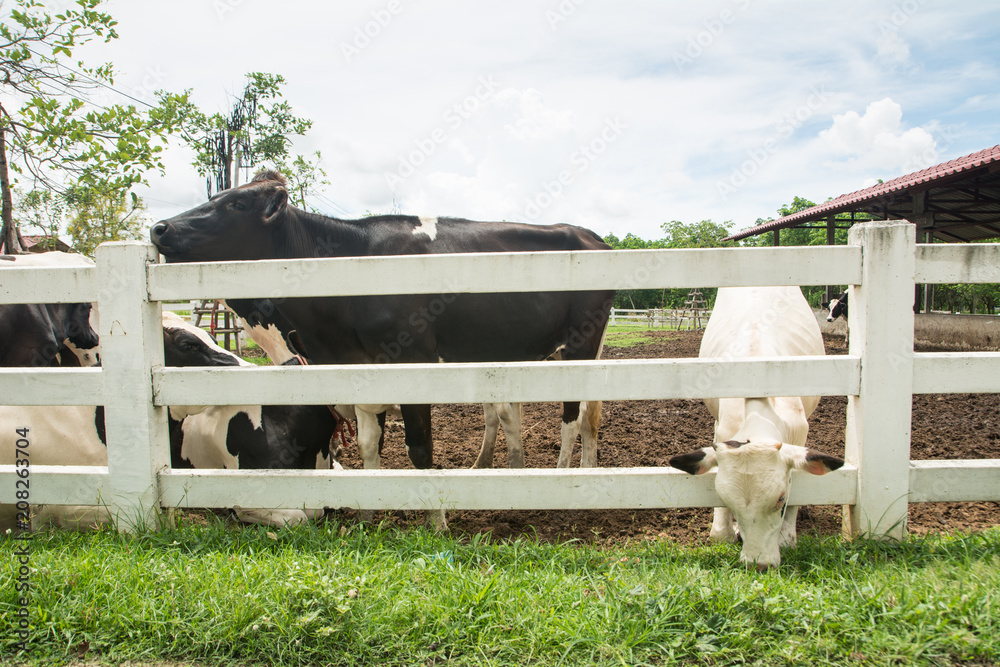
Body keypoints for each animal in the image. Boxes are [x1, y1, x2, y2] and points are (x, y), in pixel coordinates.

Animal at [150, 170, 613, 499]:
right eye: (217, 196)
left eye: (238, 202)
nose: (159, 229)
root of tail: (590, 235)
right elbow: (370, 445)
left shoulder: (412, 364)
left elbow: (417, 449)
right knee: (570, 412)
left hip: (579, 345)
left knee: (572, 416)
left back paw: (562, 476)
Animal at [668, 286, 844, 570]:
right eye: (726, 501)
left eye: (781, 500)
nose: (758, 563)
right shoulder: (723, 432)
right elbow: (719, 535)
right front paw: (731, 529)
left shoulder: (799, 435)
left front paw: (787, 534)